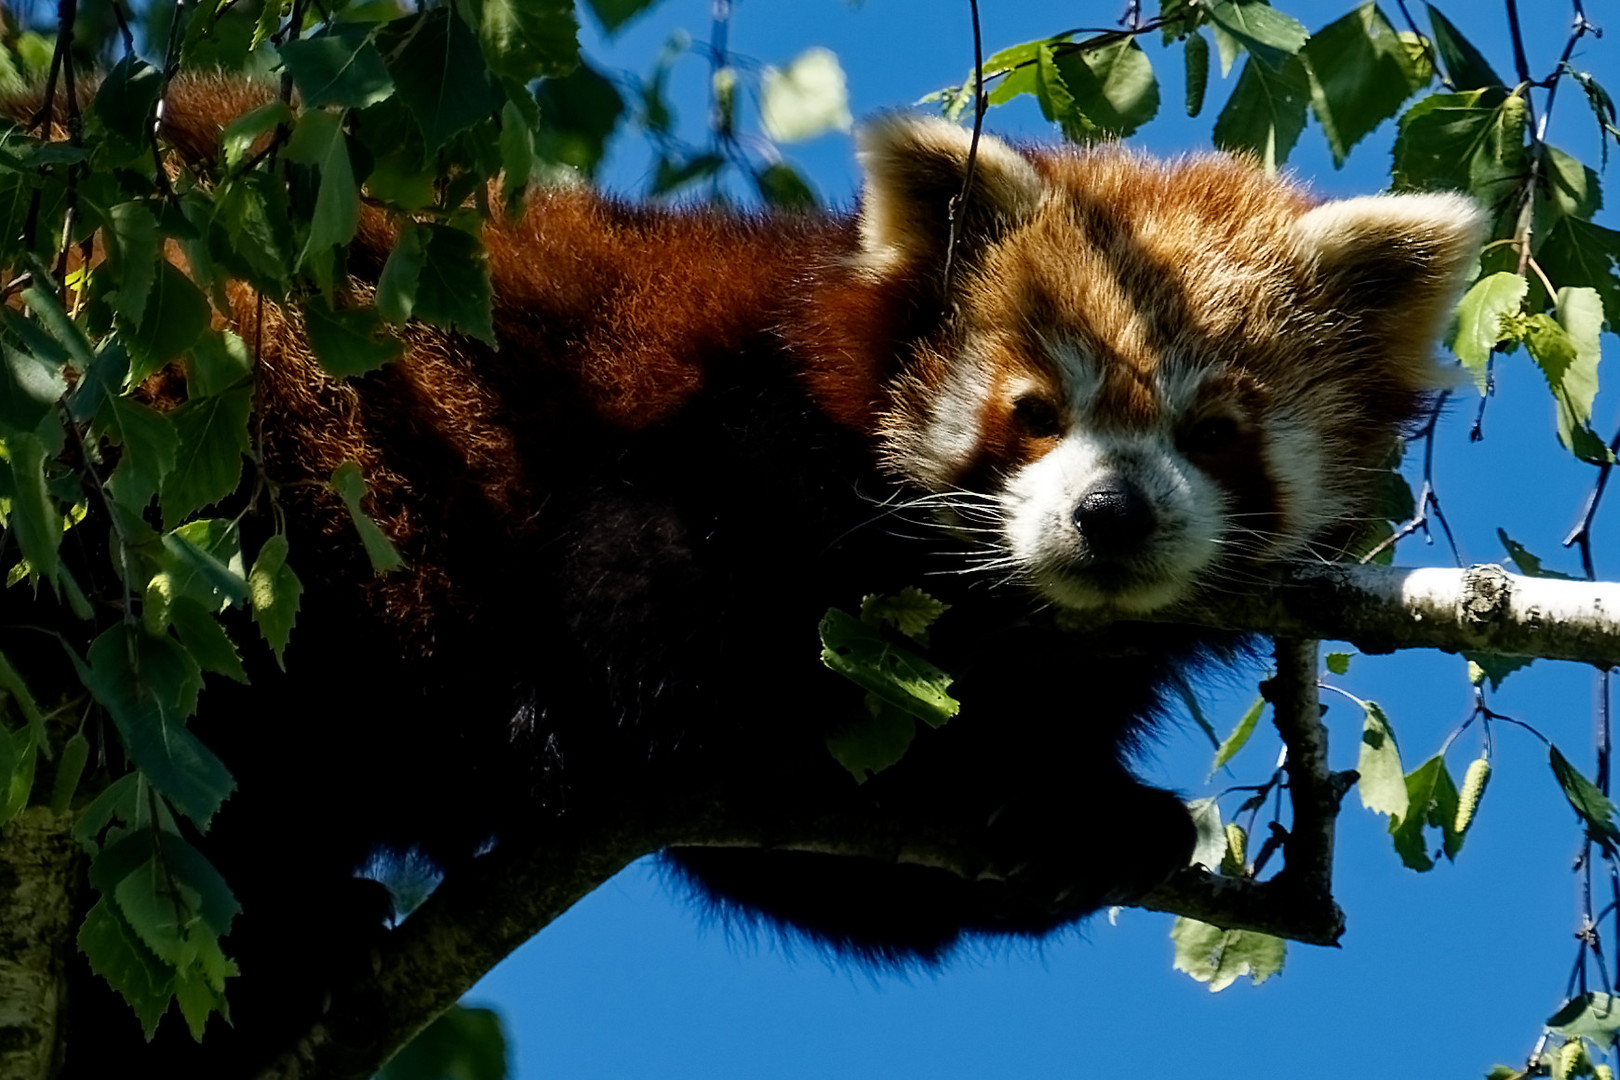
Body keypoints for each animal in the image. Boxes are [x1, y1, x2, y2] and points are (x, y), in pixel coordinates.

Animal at [34, 80, 1483, 1075]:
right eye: (1034, 410)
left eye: (1213, 432)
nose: (1111, 514)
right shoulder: (727, 441)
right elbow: (694, 693)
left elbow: (847, 878)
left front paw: (1085, 816)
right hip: (239, 422)